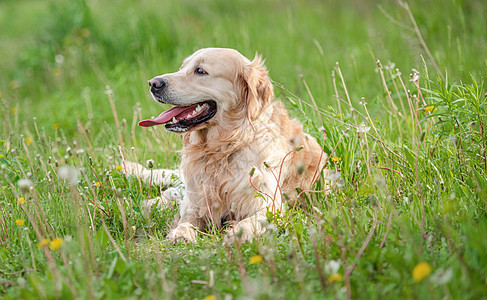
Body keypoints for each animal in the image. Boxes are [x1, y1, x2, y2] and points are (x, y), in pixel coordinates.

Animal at [127, 48, 328, 243]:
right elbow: (187, 219)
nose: (153, 83)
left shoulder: (270, 206)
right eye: (181, 68)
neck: (223, 148)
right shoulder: (197, 202)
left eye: (200, 71)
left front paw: (237, 234)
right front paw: (181, 233)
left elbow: (252, 221)